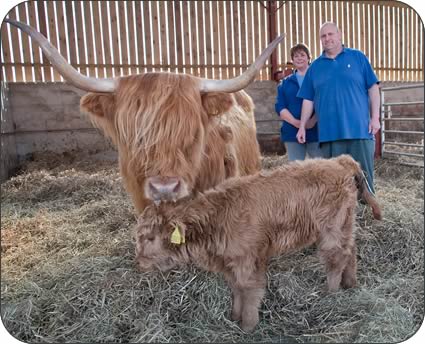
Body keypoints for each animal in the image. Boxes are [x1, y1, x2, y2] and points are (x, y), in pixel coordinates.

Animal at [133, 155, 380, 330]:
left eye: (150, 237)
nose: (140, 262)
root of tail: (339, 161)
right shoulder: (231, 263)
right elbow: (236, 289)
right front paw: (234, 317)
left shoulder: (249, 260)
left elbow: (250, 291)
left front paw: (248, 326)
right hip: (345, 224)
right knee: (350, 251)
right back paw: (350, 283)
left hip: (332, 228)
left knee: (336, 257)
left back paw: (330, 293)